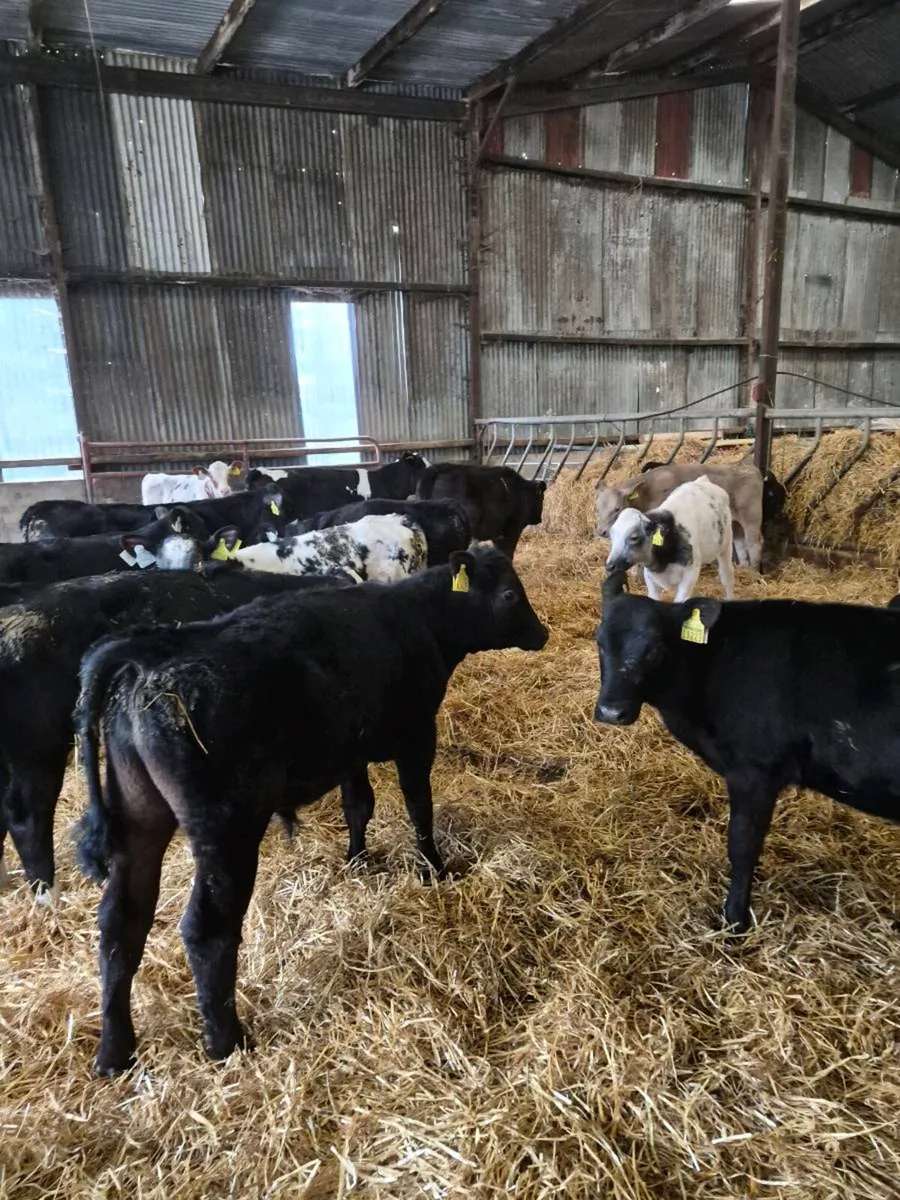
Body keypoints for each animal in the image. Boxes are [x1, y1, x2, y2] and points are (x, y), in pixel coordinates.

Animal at [74, 545, 548, 1074]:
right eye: (510, 594)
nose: (542, 633)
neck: (419, 618)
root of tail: (151, 652)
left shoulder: (351, 751)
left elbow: (359, 806)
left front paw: (357, 861)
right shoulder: (416, 734)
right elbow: (418, 806)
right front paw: (433, 868)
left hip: (140, 817)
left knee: (121, 922)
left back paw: (115, 1052)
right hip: (225, 827)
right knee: (206, 928)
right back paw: (226, 1042)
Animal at [594, 569, 900, 932]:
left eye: (654, 649)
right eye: (599, 642)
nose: (611, 712)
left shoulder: (754, 772)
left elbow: (742, 844)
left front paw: (734, 920)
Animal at [595, 463, 764, 572]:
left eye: (617, 508)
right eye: (597, 509)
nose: (601, 531)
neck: (647, 493)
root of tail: (751, 469)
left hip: (751, 517)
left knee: (754, 543)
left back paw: (754, 573)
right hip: (735, 523)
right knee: (741, 544)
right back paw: (745, 569)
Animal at [605, 476, 735, 602]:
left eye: (634, 537)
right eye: (611, 535)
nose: (609, 566)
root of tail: (702, 480)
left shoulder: (690, 573)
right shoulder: (650, 579)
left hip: (726, 543)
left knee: (726, 575)